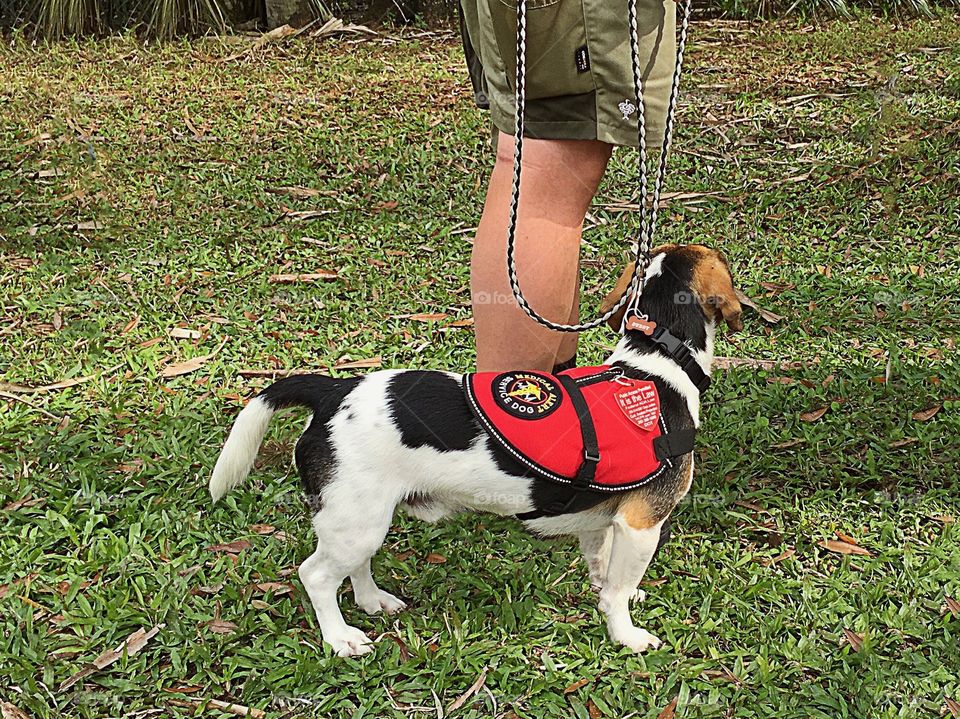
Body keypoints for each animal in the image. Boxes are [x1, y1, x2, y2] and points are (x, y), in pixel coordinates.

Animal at [212, 246, 744, 660]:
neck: (655, 363)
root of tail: (332, 390)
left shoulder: (601, 521)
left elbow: (603, 572)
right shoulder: (641, 524)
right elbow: (618, 591)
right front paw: (626, 636)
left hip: (361, 520)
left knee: (354, 566)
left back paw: (372, 601)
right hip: (355, 523)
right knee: (316, 575)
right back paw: (340, 638)